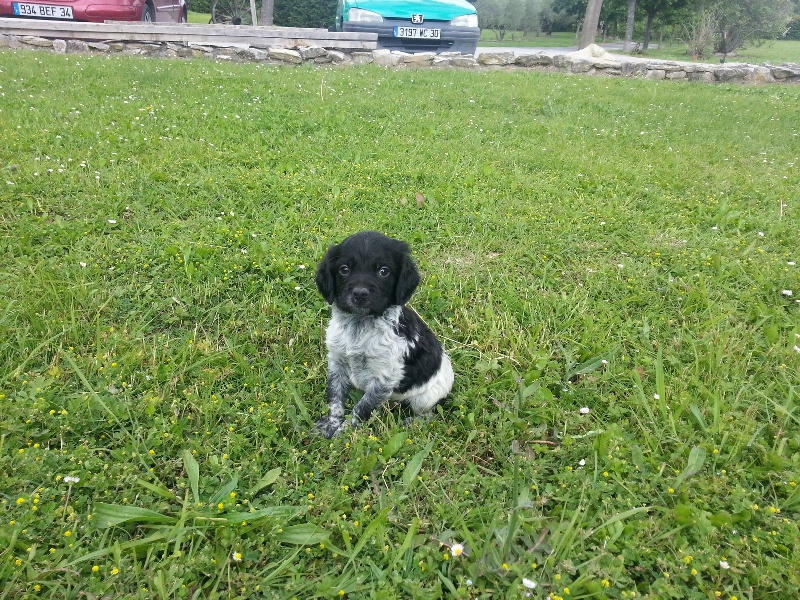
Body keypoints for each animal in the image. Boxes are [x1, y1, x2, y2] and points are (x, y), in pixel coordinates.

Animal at [314, 231, 454, 438]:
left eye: (384, 271)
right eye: (344, 269)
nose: (360, 294)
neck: (360, 326)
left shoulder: (384, 379)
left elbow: (361, 408)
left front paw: (344, 433)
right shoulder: (337, 362)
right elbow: (335, 397)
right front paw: (331, 424)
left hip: (425, 398)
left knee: (430, 414)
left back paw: (411, 422)